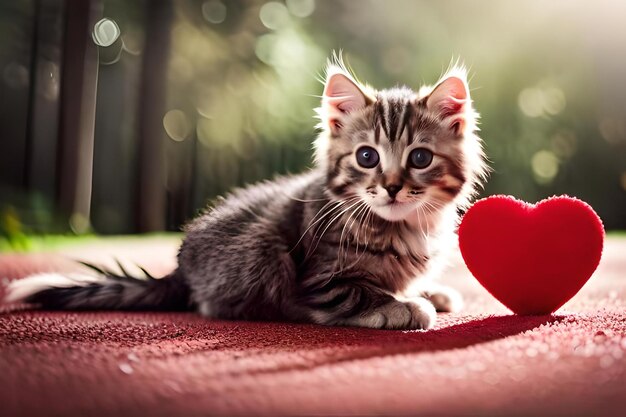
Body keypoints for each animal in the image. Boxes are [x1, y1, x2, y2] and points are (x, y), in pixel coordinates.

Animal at [6, 56, 488, 328]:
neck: (403, 227)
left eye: (419, 158)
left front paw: (429, 291)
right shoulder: (319, 277)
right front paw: (407, 305)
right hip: (262, 250)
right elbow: (356, 293)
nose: (390, 188)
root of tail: (180, 268)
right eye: (367, 157)